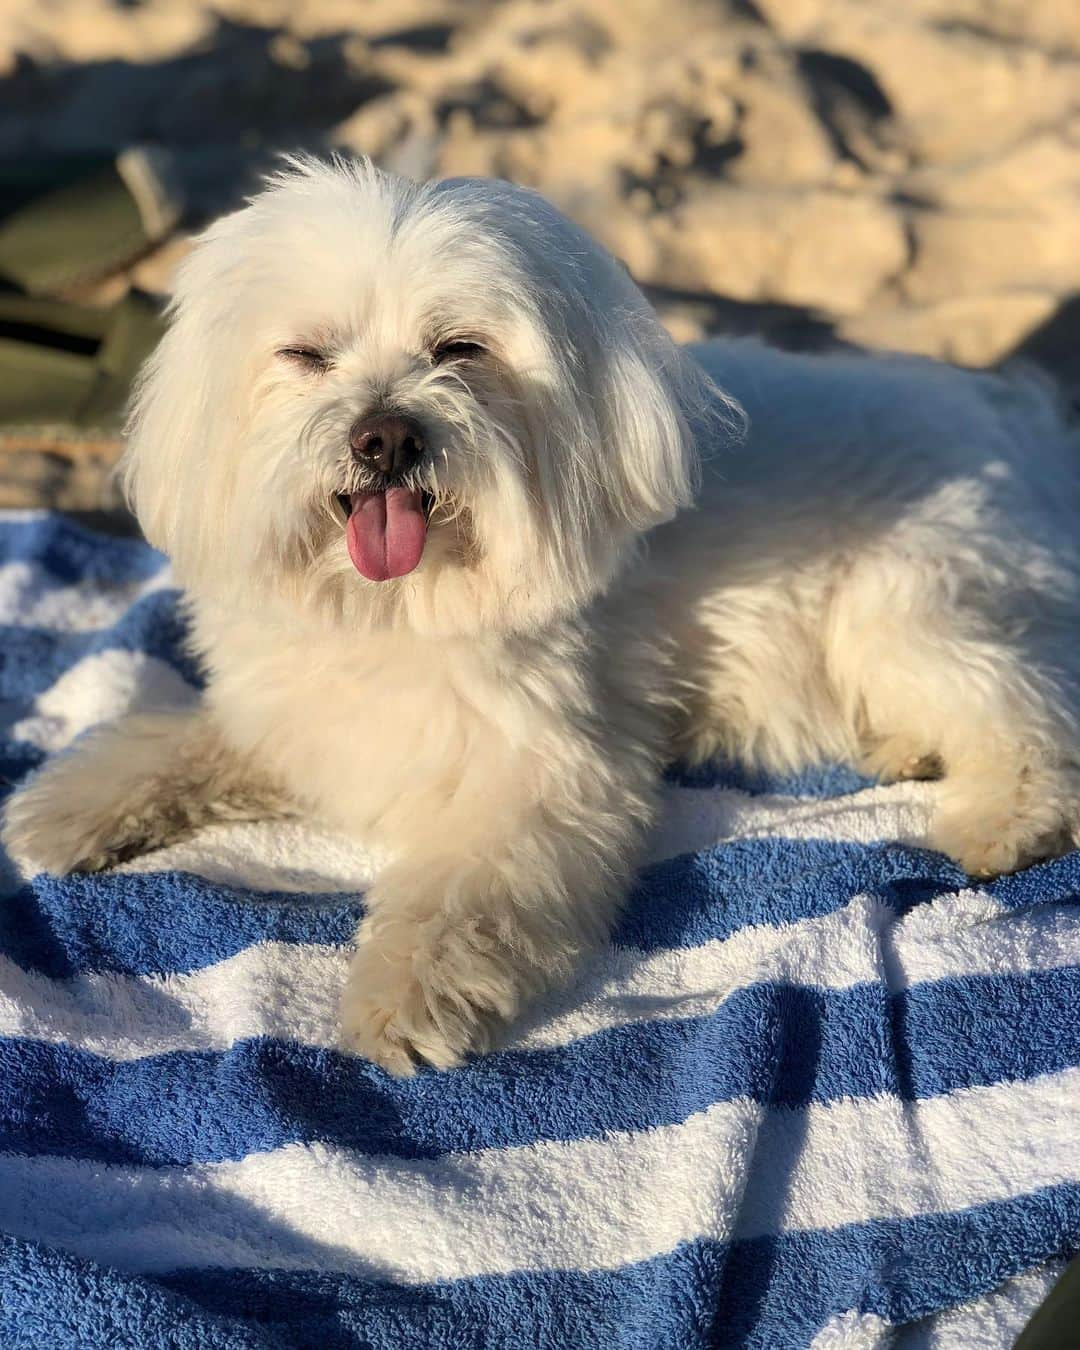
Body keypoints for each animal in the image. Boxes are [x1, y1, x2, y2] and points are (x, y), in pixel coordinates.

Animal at [2, 157, 1080, 1069]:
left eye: (458, 349)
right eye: (307, 354)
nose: (385, 435)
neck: (396, 614)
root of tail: (1010, 421)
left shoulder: (545, 777)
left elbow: (465, 894)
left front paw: (406, 995)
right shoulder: (301, 717)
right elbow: (186, 740)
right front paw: (75, 801)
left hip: (909, 608)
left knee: (1030, 716)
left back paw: (1000, 817)